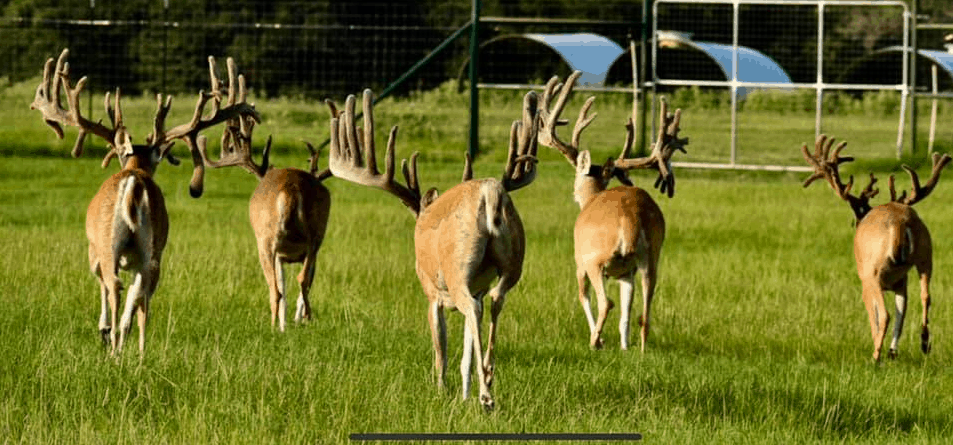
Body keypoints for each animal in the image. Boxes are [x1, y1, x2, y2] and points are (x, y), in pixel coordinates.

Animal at [29, 49, 258, 356]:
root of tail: (134, 182)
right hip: (151, 250)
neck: (136, 167)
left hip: (108, 242)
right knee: (139, 296)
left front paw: (103, 331)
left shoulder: (93, 250)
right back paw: (133, 349)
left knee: (116, 287)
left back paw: (117, 347)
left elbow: (102, 284)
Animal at [197, 110, 333, 332]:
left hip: (265, 240)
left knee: (275, 290)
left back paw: (273, 327)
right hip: (316, 234)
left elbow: (282, 288)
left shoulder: (277, 253)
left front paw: (284, 326)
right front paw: (291, 323)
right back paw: (305, 317)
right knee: (302, 280)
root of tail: (291, 188)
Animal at [325, 89, 539, 411]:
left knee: (472, 307)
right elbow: (465, 353)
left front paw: (441, 390)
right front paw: (463, 395)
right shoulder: (475, 286)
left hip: (455, 267)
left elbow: (441, 351)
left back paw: (486, 395)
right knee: (495, 299)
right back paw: (488, 375)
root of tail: (491, 191)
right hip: (514, 260)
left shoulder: (431, 293)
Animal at [534, 71, 688, 352]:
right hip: (650, 257)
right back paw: (640, 349)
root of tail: (630, 217)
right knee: (645, 309)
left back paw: (595, 340)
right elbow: (626, 311)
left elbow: (584, 297)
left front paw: (602, 338)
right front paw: (624, 347)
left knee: (606, 302)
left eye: (576, 175)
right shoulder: (626, 271)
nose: (574, 193)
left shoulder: (579, 260)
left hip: (596, 258)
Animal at [801, 134, 950, 362]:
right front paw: (893, 351)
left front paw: (882, 349)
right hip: (926, 255)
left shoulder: (865, 279)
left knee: (885, 314)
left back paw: (875, 357)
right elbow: (902, 313)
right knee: (926, 297)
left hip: (872, 272)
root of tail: (900, 221)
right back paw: (924, 343)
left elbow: (878, 317)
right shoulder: (901, 281)